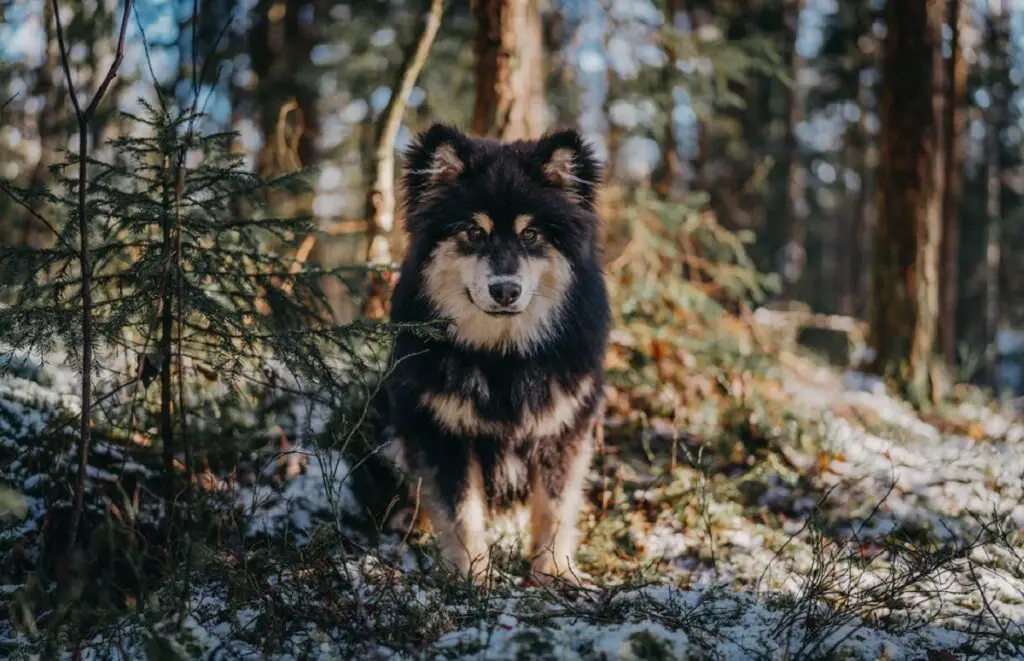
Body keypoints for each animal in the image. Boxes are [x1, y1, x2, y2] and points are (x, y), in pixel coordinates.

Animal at [378, 122, 610, 585]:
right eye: (474, 232)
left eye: (530, 235)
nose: (505, 290)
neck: (503, 356)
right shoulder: (442, 432)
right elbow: (462, 513)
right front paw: (474, 578)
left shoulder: (563, 430)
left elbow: (553, 509)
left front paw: (551, 574)